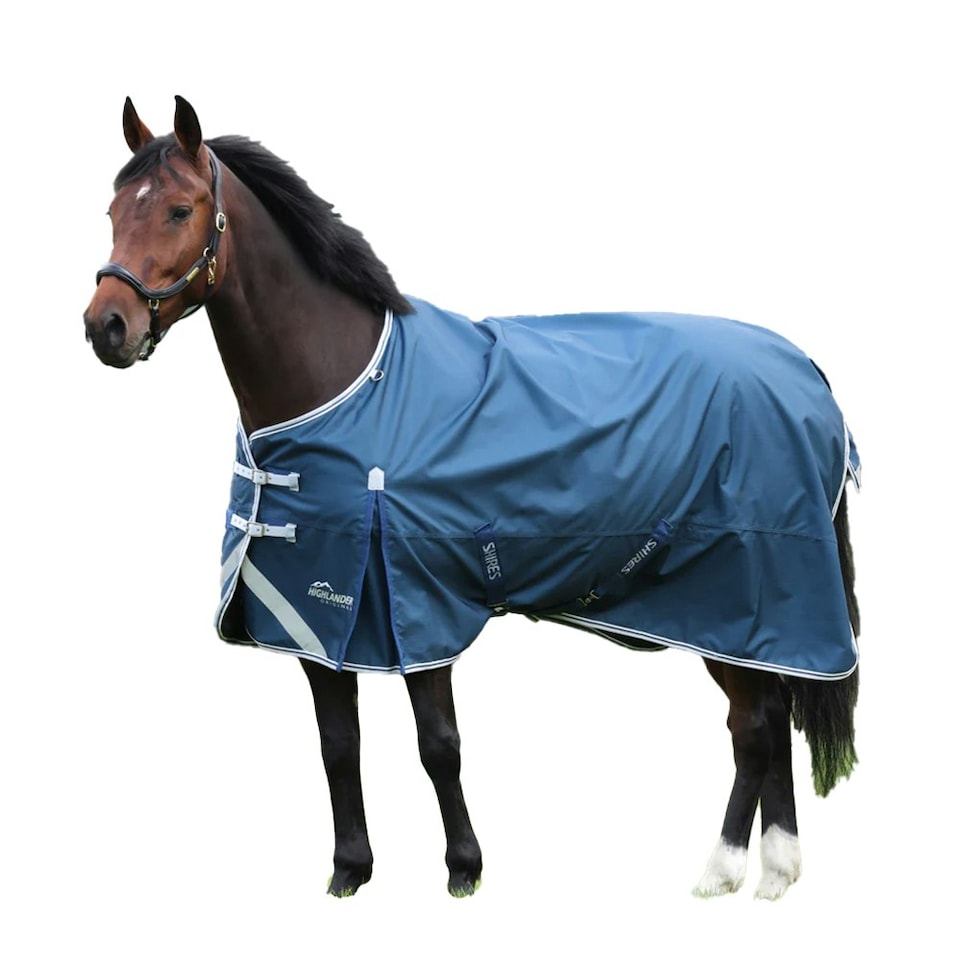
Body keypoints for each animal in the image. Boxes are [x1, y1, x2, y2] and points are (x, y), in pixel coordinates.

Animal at [83, 95, 861, 900]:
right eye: (112, 209)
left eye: (179, 210)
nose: (106, 326)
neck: (342, 386)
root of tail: (806, 370)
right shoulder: (313, 622)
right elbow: (338, 746)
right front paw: (350, 870)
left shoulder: (420, 603)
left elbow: (439, 745)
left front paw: (464, 868)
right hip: (746, 620)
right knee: (772, 713)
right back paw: (777, 870)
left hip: (738, 600)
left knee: (756, 726)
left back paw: (725, 868)